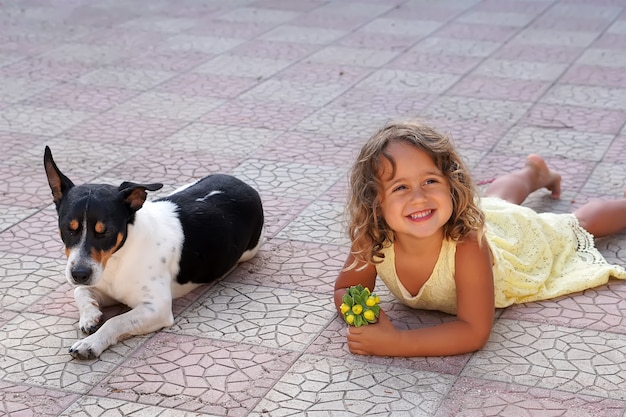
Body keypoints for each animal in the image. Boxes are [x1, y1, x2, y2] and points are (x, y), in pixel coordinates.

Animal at [43, 148, 264, 360]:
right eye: (68, 228)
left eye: (105, 231)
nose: (79, 274)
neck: (120, 257)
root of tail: (244, 184)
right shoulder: (102, 285)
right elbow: (80, 291)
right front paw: (90, 315)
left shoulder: (157, 308)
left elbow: (116, 320)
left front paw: (91, 343)